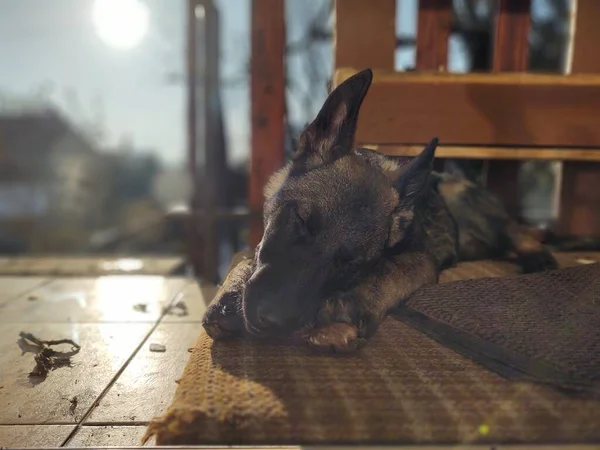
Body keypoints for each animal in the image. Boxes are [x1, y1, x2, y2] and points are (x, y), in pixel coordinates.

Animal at [202, 68, 556, 354]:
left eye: (351, 264)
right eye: (300, 222)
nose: (273, 323)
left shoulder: (421, 260)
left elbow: (390, 270)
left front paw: (347, 306)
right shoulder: (261, 243)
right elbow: (246, 257)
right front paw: (228, 295)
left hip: (468, 204)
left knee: (515, 231)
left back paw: (537, 255)